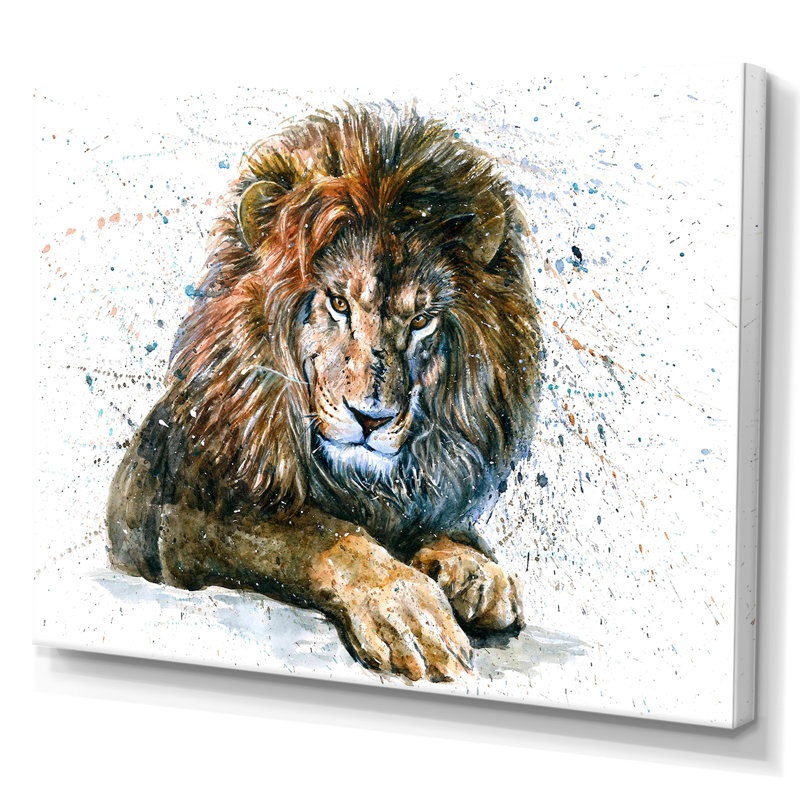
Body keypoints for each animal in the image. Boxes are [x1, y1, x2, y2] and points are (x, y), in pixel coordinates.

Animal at [107, 104, 542, 682]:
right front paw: (407, 611)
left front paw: (475, 569)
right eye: (337, 302)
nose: (372, 419)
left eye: (421, 321)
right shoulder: (181, 515)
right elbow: (323, 537)